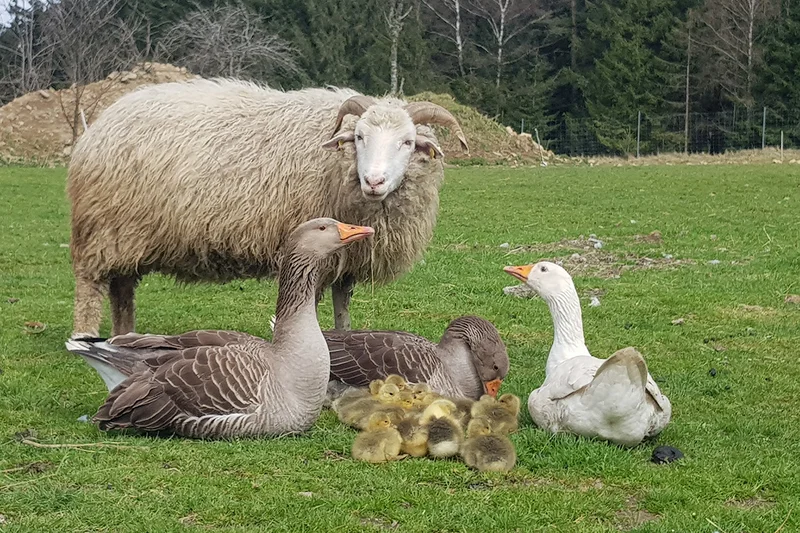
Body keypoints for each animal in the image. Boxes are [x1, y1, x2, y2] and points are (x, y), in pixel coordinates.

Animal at [68, 78, 468, 337]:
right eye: (358, 137)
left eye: (407, 142)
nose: (374, 181)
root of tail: (102, 121)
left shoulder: (347, 259)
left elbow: (342, 306)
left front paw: (346, 338)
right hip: (102, 228)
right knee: (90, 282)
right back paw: (85, 335)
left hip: (127, 236)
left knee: (121, 289)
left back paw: (125, 333)